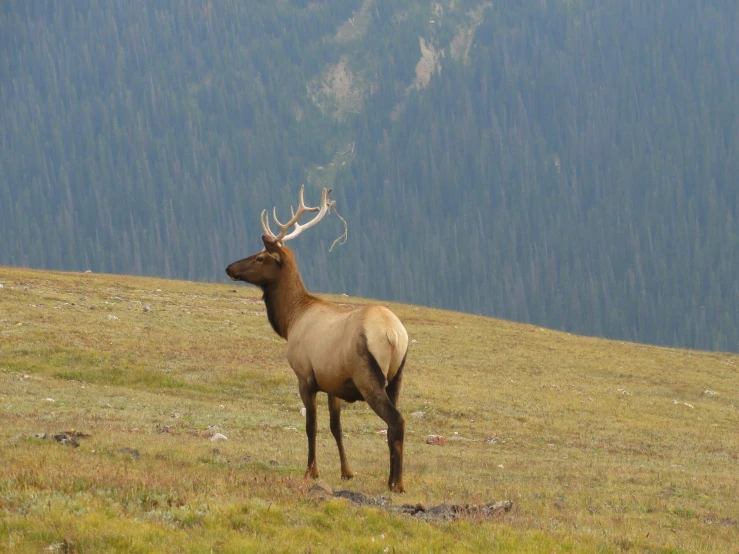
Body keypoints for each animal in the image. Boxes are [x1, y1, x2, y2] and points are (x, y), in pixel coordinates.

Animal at [227, 187, 410, 492]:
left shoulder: (305, 376)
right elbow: (336, 426)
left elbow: (311, 426)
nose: (229, 267)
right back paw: (393, 479)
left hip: (368, 377)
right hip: (397, 376)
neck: (291, 320)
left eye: (261, 257)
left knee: (396, 421)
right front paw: (347, 471)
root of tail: (394, 334)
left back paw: (396, 483)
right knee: (393, 424)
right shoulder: (332, 382)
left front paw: (310, 471)